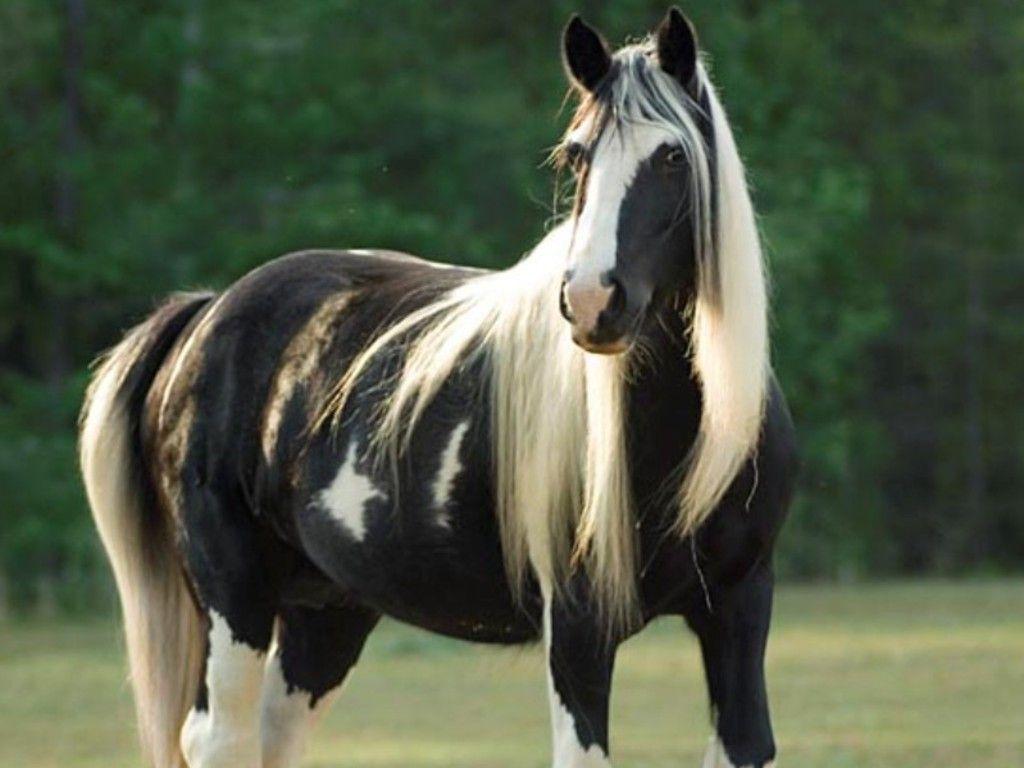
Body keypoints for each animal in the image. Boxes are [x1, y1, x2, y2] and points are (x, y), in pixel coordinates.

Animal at [80, 8, 796, 768]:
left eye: (672, 156)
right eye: (578, 155)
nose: (592, 300)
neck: (684, 439)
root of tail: (208, 311)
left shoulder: (741, 607)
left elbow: (747, 740)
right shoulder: (578, 628)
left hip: (325, 611)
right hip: (233, 592)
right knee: (222, 737)